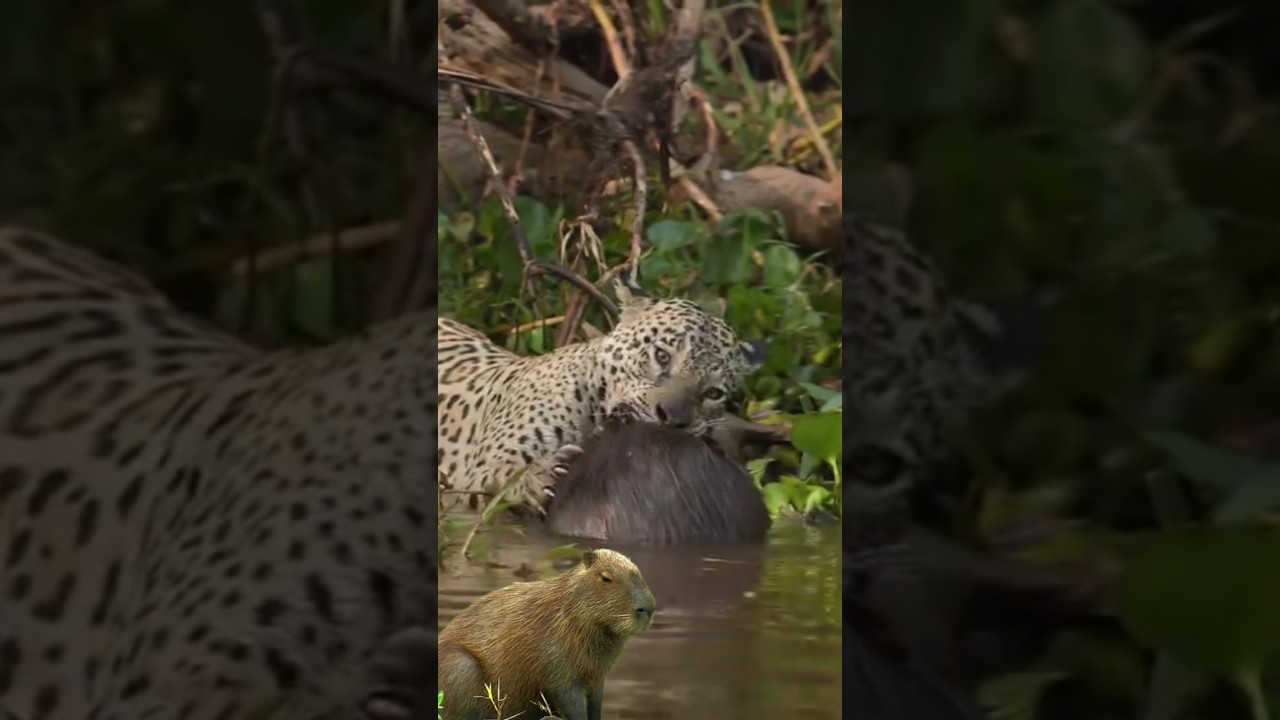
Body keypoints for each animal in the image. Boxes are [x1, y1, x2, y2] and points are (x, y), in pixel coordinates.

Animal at [437, 282, 762, 515]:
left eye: (713, 393)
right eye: (661, 356)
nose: (673, 419)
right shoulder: (474, 472)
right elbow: (503, 473)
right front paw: (540, 477)